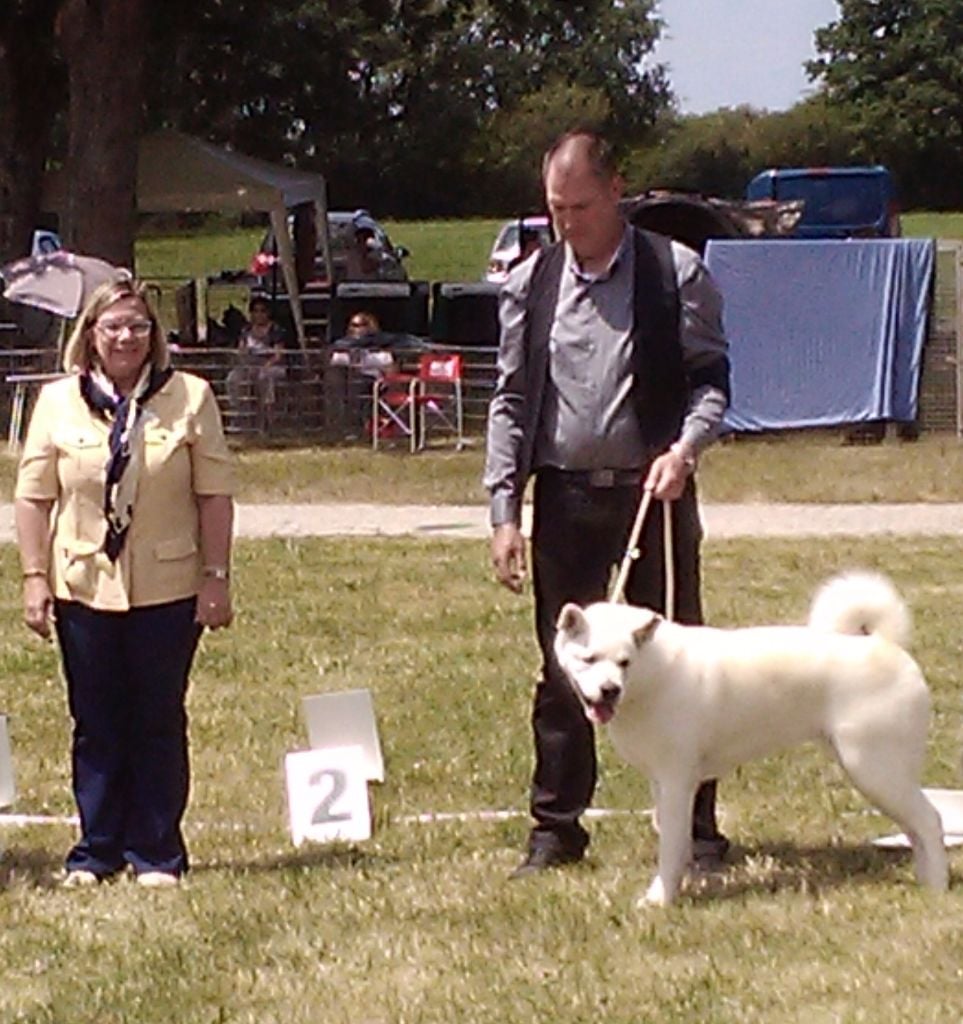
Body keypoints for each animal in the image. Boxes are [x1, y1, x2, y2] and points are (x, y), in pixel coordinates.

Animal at [557, 573, 946, 909]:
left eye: (625, 662)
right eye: (589, 658)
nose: (609, 689)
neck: (651, 675)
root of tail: (885, 644)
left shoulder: (677, 780)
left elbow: (671, 843)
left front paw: (660, 900)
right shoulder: (661, 782)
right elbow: (672, 836)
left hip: (874, 769)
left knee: (930, 821)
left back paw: (938, 887)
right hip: (881, 775)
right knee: (914, 828)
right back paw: (924, 880)